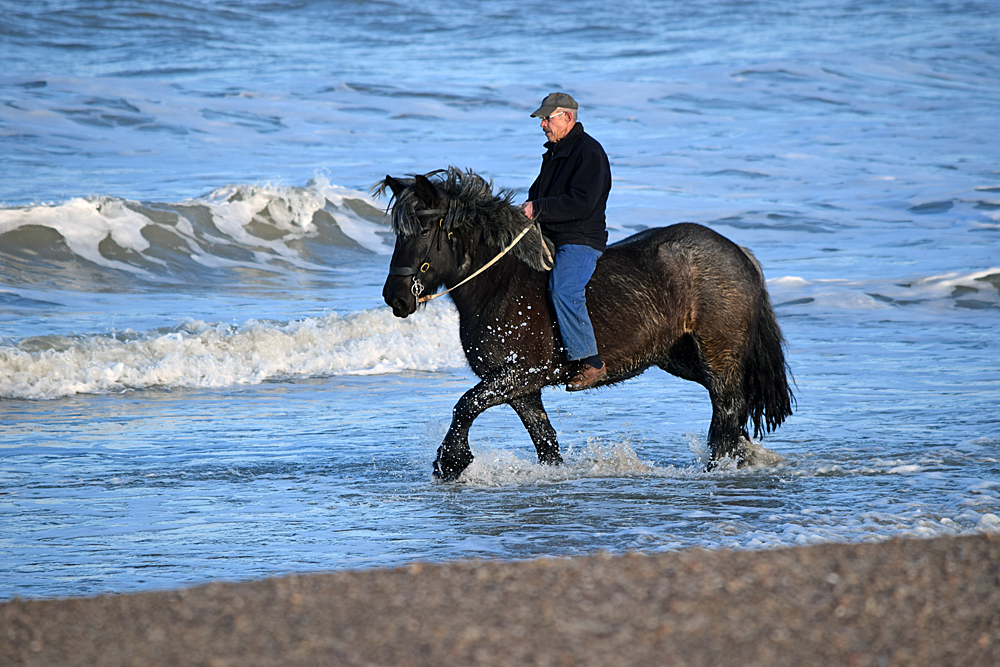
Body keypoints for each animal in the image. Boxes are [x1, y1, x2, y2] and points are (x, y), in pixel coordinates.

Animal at [378, 167, 792, 480]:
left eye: (424, 231)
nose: (396, 298)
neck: (500, 285)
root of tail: (738, 252)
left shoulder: (518, 375)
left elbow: (465, 405)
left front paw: (451, 461)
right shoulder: (521, 389)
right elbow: (544, 440)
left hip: (718, 355)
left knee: (727, 409)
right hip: (680, 358)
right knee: (730, 410)